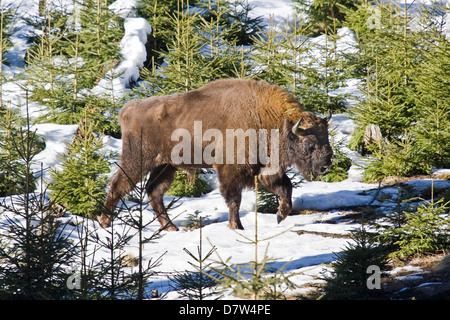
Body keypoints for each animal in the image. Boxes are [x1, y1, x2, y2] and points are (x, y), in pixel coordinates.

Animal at [102, 79, 334, 231]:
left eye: (327, 138)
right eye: (310, 143)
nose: (326, 166)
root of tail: (127, 109)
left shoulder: (265, 170)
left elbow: (286, 188)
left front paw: (280, 216)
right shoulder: (231, 171)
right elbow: (234, 200)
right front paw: (236, 226)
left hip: (165, 166)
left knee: (154, 192)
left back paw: (171, 228)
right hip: (138, 160)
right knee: (118, 186)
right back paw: (105, 223)